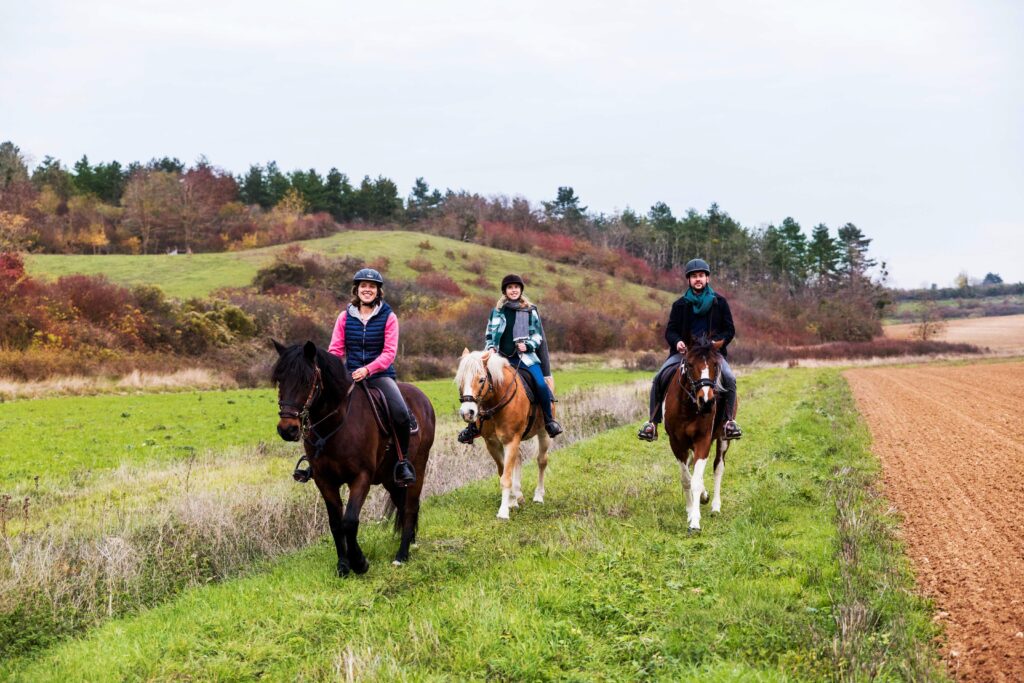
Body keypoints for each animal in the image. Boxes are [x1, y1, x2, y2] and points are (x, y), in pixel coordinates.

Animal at [270, 339, 434, 573]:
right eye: (280, 379)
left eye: (307, 380)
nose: (287, 429)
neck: (336, 424)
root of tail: (422, 398)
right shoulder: (324, 480)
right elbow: (336, 523)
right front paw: (343, 565)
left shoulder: (361, 477)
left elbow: (349, 521)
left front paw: (360, 562)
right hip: (390, 478)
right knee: (402, 505)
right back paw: (410, 541)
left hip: (417, 467)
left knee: (411, 507)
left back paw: (402, 555)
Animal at [456, 350, 552, 520]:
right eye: (460, 380)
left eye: (481, 379)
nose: (467, 413)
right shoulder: (492, 444)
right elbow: (503, 473)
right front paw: (512, 501)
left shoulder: (511, 441)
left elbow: (506, 478)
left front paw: (503, 512)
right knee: (518, 460)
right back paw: (518, 495)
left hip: (543, 433)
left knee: (542, 461)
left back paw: (539, 496)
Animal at [663, 339, 737, 532]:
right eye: (689, 364)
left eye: (715, 365)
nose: (707, 401)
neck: (688, 407)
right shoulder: (676, 443)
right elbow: (686, 479)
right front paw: (690, 510)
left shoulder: (703, 440)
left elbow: (696, 480)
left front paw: (695, 521)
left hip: (723, 439)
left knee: (718, 467)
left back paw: (715, 507)